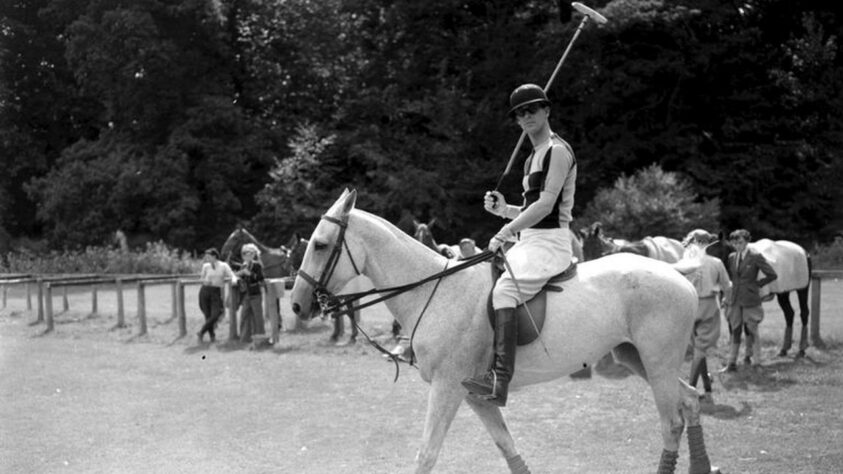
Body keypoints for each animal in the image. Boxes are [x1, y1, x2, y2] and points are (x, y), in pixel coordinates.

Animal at [292, 190, 720, 474]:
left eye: (321, 244)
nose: (297, 304)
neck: (434, 291)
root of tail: (675, 270)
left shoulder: (447, 387)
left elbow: (426, 455)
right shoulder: (473, 395)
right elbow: (506, 446)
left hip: (657, 360)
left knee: (671, 422)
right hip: (636, 357)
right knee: (690, 399)